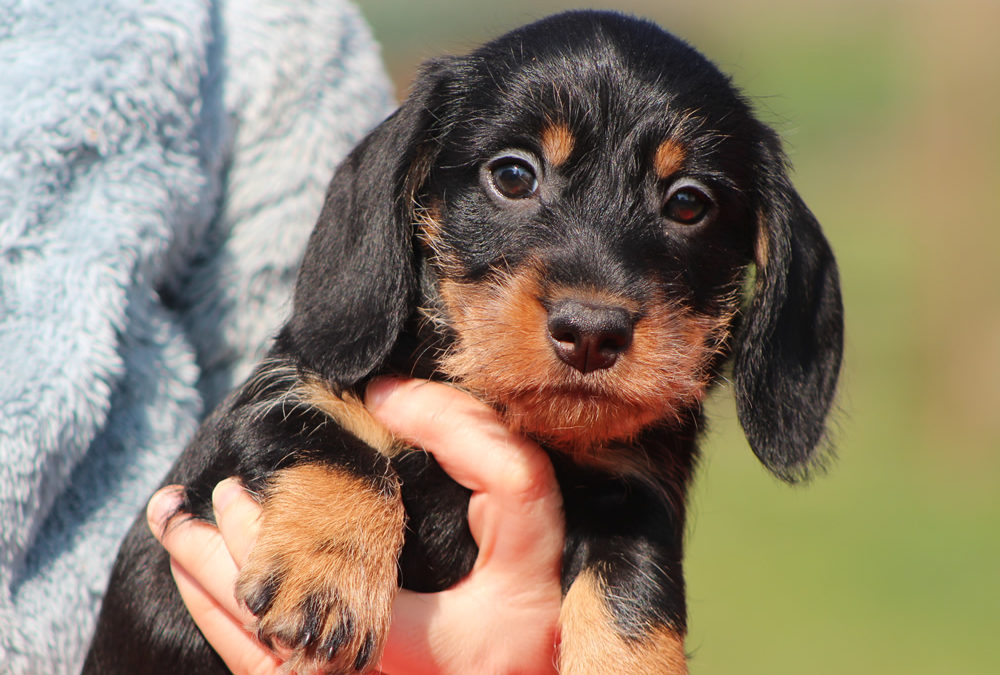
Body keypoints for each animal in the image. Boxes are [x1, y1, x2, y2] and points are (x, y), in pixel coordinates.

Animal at [84, 11, 844, 675]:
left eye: (689, 203)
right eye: (512, 175)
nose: (591, 332)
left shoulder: (634, 493)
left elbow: (635, 596)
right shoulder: (269, 401)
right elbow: (342, 447)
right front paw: (328, 577)